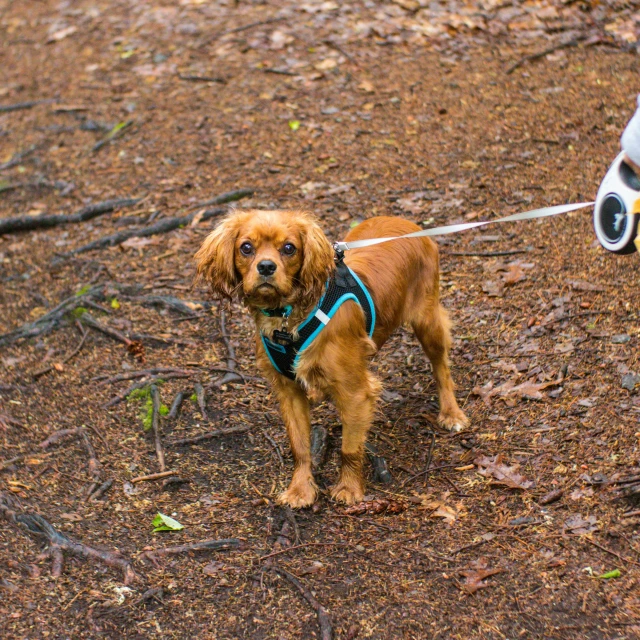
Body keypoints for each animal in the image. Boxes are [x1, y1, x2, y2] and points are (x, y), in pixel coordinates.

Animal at [192, 212, 468, 508]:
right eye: (246, 247)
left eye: (289, 248)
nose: (266, 267)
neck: (287, 318)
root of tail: (406, 222)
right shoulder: (289, 391)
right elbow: (300, 447)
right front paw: (300, 489)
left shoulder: (355, 392)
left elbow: (350, 448)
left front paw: (349, 488)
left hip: (427, 321)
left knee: (441, 367)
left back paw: (451, 413)